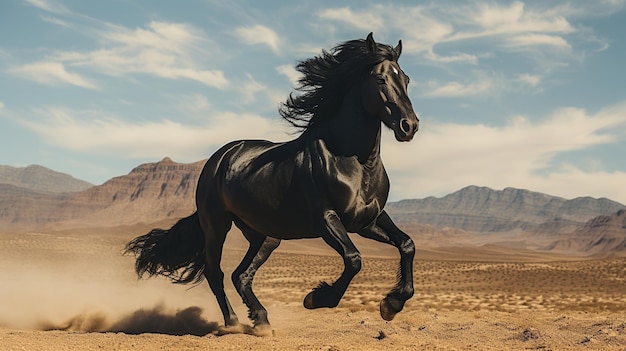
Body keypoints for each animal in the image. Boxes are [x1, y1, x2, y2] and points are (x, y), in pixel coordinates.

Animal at [125, 33, 420, 336]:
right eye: (380, 79)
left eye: (406, 79)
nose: (409, 126)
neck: (355, 163)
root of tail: (220, 158)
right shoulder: (326, 219)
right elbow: (353, 259)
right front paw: (316, 298)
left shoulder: (368, 220)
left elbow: (407, 245)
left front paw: (392, 305)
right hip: (216, 225)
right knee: (215, 272)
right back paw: (233, 323)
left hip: (264, 235)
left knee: (241, 275)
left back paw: (262, 321)